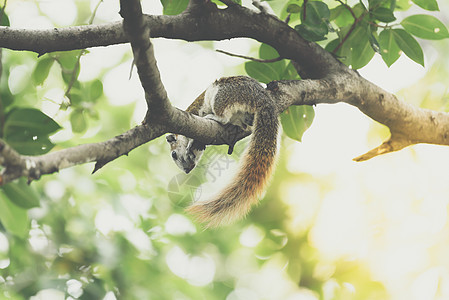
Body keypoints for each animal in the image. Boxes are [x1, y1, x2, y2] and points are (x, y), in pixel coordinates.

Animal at [166, 75, 278, 227]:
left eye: (174, 154)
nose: (187, 170)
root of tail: (262, 97)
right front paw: (197, 145)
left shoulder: (195, 115)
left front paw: (191, 143)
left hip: (223, 94)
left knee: (223, 117)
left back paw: (214, 117)